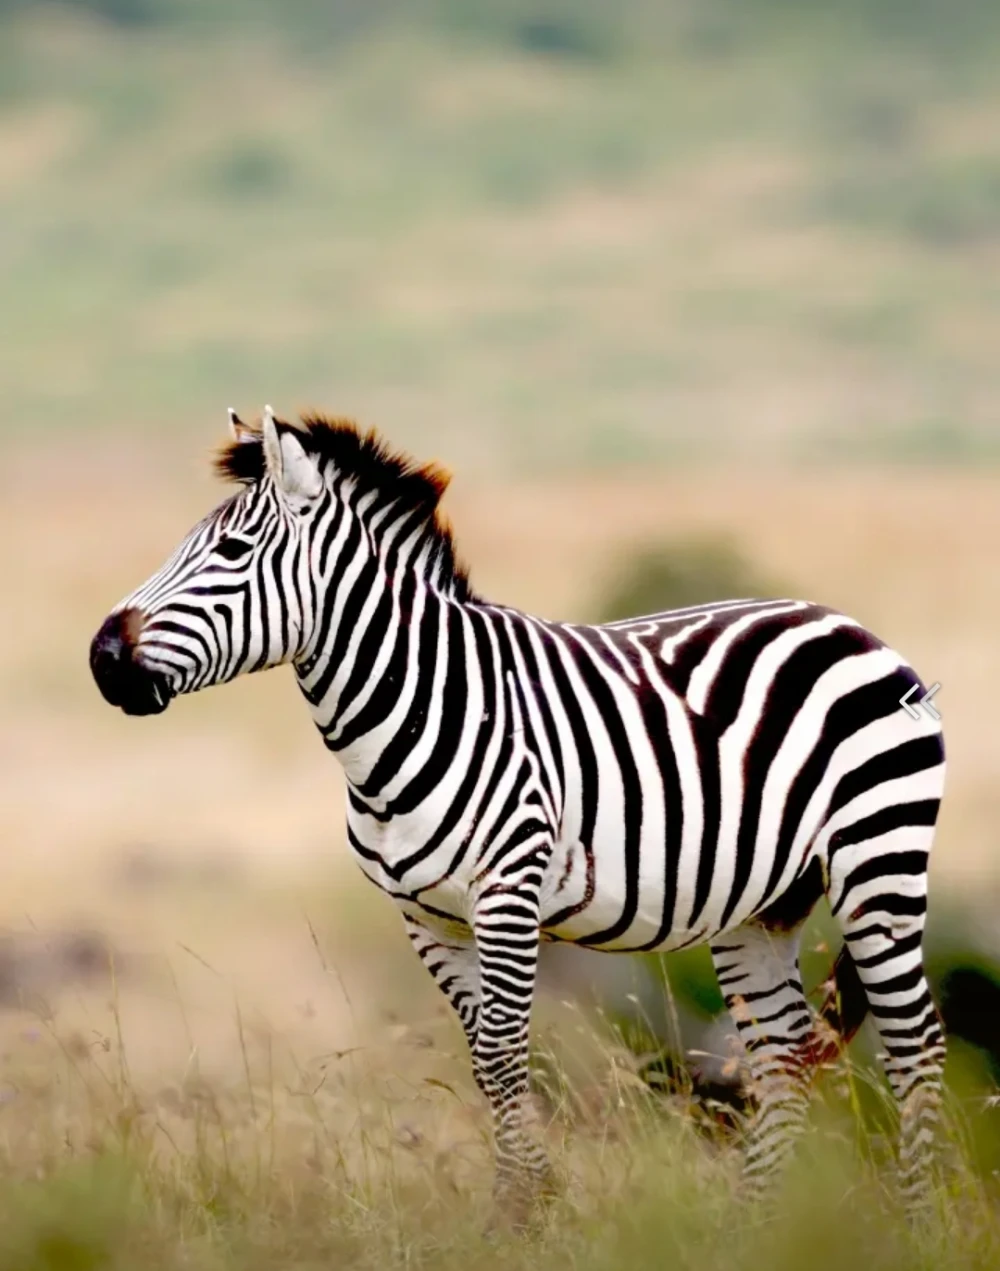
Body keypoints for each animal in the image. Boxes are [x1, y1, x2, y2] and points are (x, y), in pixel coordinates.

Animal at [90, 407, 946, 1219]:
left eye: (233, 552)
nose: (103, 657)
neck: (413, 710)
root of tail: (850, 627)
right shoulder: (423, 912)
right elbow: (482, 1059)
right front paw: (530, 1201)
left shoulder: (508, 889)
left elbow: (505, 1053)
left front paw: (519, 1213)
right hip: (761, 903)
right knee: (783, 1055)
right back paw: (747, 1226)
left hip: (878, 862)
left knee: (916, 1046)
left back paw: (919, 1221)